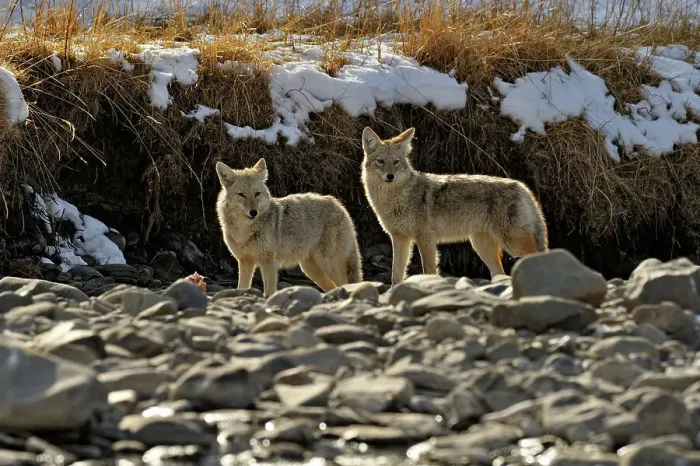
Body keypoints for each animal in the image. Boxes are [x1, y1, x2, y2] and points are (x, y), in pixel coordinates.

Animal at [216, 159, 363, 297]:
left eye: (257, 194)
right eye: (241, 195)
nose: (253, 212)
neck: (244, 231)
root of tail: (339, 205)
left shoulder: (269, 263)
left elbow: (269, 292)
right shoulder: (245, 262)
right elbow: (241, 288)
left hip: (327, 264)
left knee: (344, 284)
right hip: (311, 270)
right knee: (332, 287)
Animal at [360, 126, 548, 284]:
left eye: (396, 162)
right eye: (380, 161)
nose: (390, 176)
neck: (397, 198)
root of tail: (522, 186)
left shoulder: (426, 238)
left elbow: (428, 270)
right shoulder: (400, 238)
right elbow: (396, 274)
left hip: (512, 244)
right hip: (482, 247)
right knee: (500, 274)